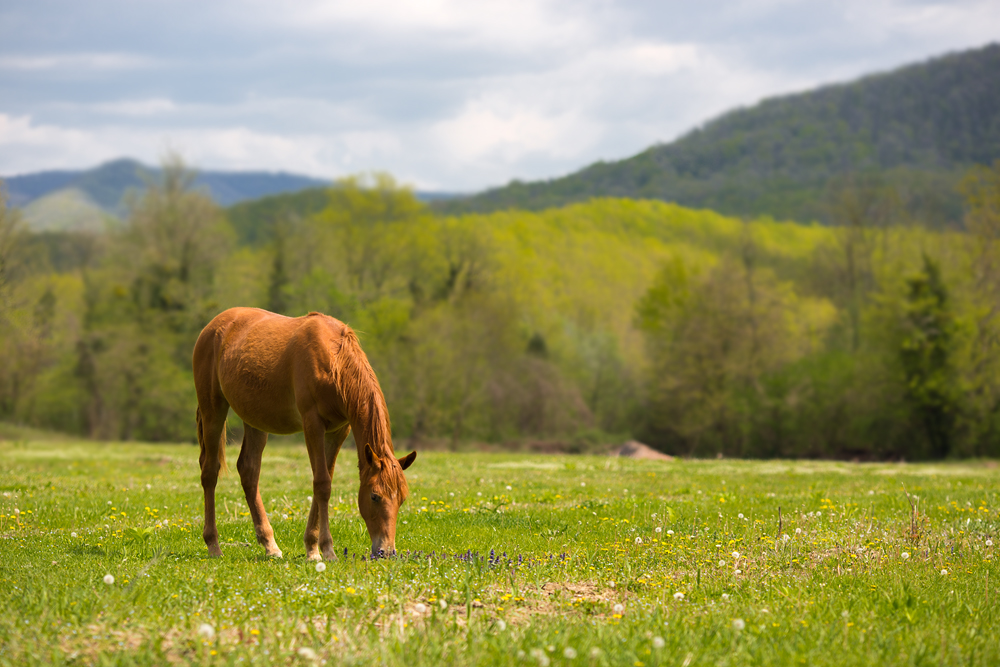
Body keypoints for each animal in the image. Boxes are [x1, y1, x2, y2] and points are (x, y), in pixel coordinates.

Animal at [193, 308, 416, 560]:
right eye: (374, 496)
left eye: (402, 498)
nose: (386, 552)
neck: (334, 361)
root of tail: (214, 326)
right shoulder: (313, 423)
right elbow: (322, 483)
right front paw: (325, 549)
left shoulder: (338, 430)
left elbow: (324, 482)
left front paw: (312, 546)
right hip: (213, 409)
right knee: (210, 471)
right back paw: (213, 545)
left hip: (255, 420)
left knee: (249, 470)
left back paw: (270, 544)